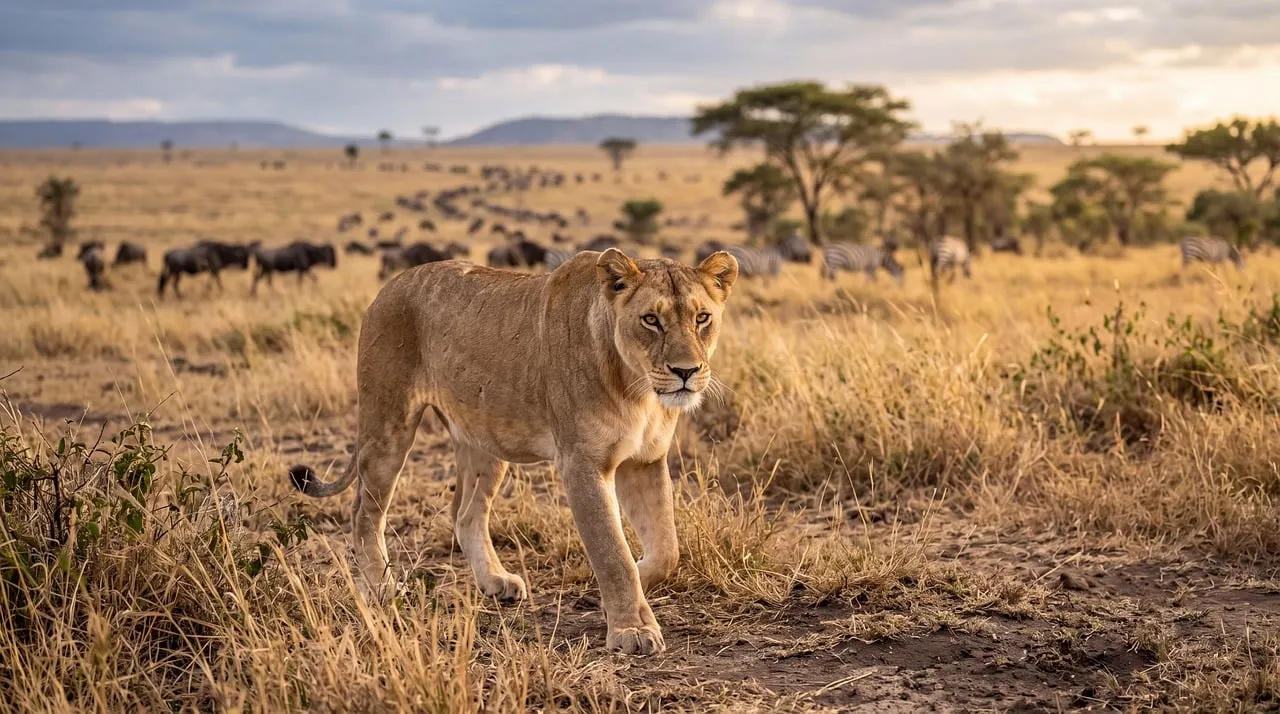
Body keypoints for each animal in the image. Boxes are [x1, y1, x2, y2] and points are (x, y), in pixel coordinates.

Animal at [288, 247, 739, 655]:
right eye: (651, 320)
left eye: (702, 318)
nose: (686, 372)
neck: (639, 388)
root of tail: (388, 286)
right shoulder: (581, 464)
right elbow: (613, 552)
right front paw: (632, 629)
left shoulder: (645, 460)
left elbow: (666, 550)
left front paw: (627, 586)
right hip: (387, 426)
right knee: (364, 512)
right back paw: (381, 587)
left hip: (485, 442)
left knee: (465, 514)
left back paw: (494, 581)